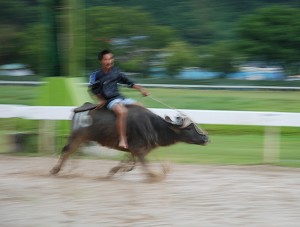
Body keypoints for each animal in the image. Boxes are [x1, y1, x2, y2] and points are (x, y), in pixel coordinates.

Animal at [50, 102, 209, 180]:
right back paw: (54, 170)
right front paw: (154, 176)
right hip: (76, 137)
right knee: (66, 151)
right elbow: (143, 164)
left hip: (80, 139)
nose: (205, 138)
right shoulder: (138, 149)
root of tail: (78, 110)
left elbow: (129, 162)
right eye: (189, 127)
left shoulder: (136, 150)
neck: (152, 126)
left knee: (69, 153)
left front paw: (113, 171)